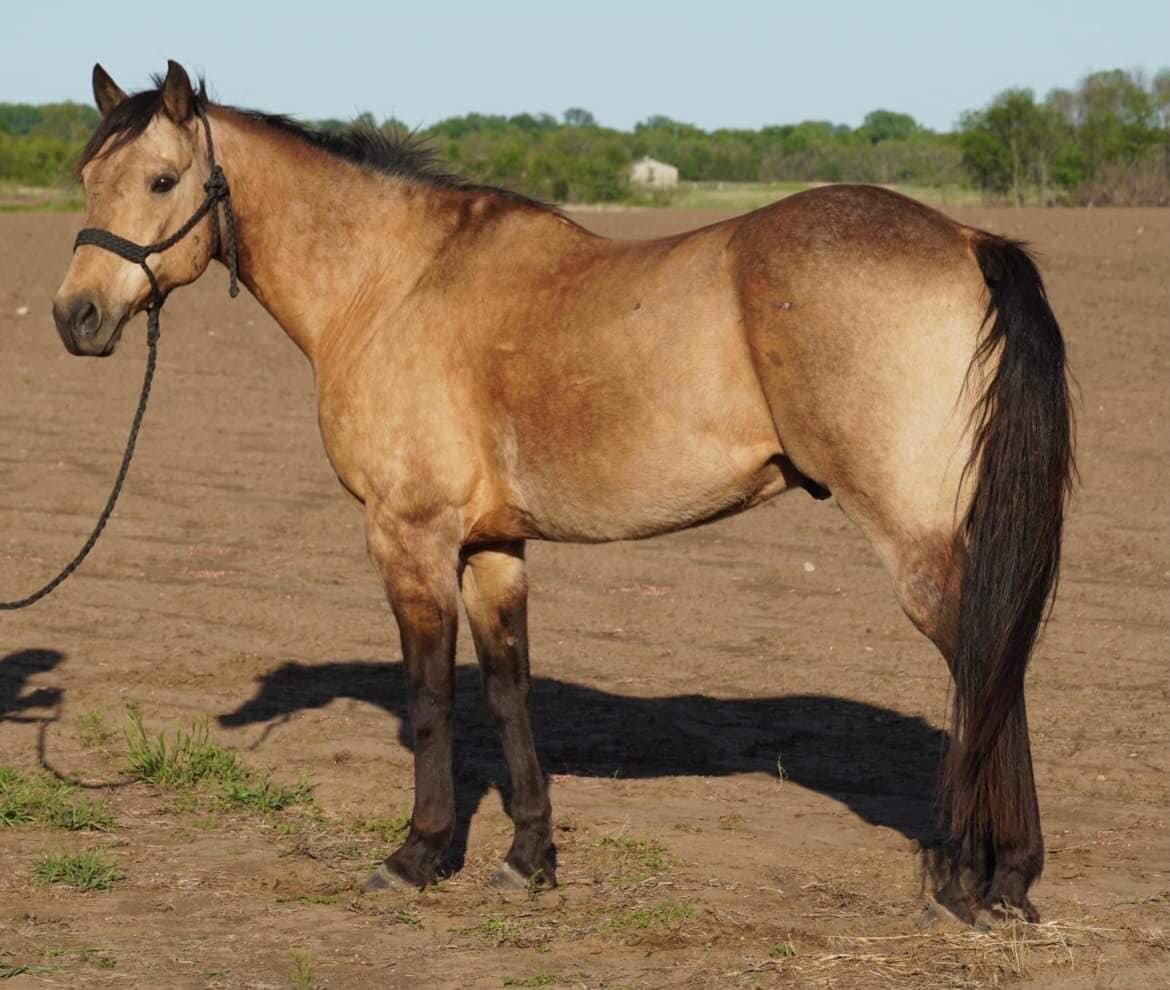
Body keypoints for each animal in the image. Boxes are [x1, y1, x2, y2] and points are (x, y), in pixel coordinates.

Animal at [52, 61, 1073, 925]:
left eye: (162, 180)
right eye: (87, 176)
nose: (76, 317)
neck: (391, 281)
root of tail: (967, 237)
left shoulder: (409, 537)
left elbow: (431, 694)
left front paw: (418, 855)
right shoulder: (491, 548)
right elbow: (510, 691)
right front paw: (527, 859)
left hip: (918, 545)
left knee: (984, 661)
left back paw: (972, 880)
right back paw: (1010, 881)